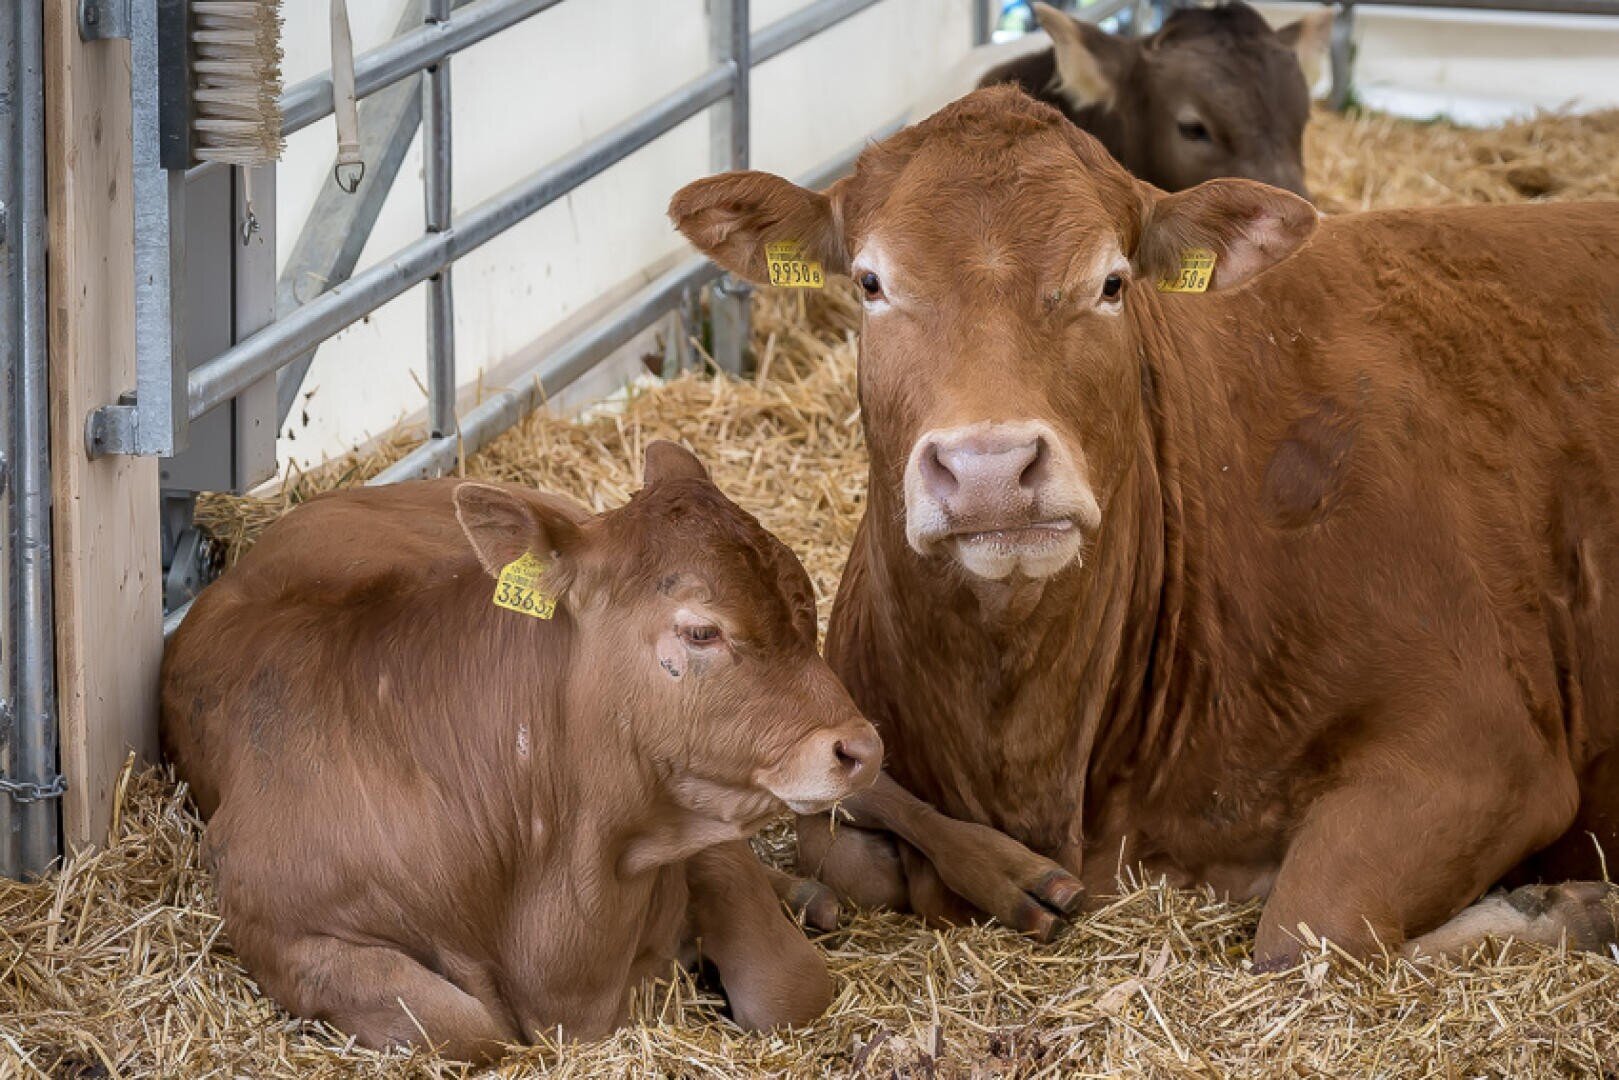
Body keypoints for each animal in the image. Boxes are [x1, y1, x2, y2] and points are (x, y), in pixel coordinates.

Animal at [160, 442, 882, 1061]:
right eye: (702, 631)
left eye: (806, 603)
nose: (863, 748)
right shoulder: (279, 925)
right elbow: (464, 1029)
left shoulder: (687, 805)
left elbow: (788, 984)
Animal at [668, 86, 1619, 966]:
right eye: (870, 282)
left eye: (1111, 283)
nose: (989, 469)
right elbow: (840, 848)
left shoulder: (1481, 748)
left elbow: (1307, 928)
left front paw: (1568, 907)